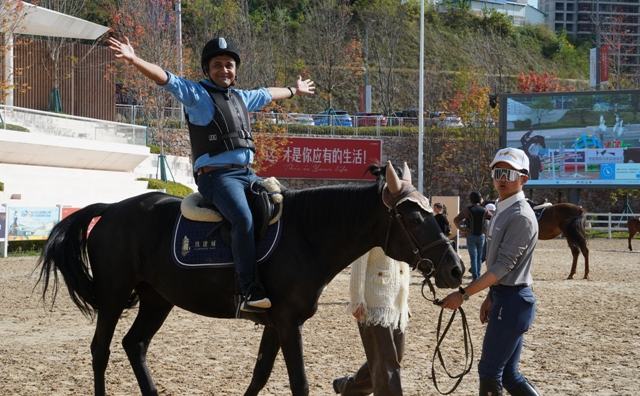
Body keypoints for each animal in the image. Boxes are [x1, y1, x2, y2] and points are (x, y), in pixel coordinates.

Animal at [36, 162, 464, 396]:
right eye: (413, 218)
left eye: (434, 213)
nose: (456, 268)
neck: (306, 233)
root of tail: (110, 210)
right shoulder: (288, 322)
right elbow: (298, 382)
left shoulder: (276, 323)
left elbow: (260, 376)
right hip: (113, 296)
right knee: (101, 351)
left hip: (157, 299)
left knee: (134, 344)